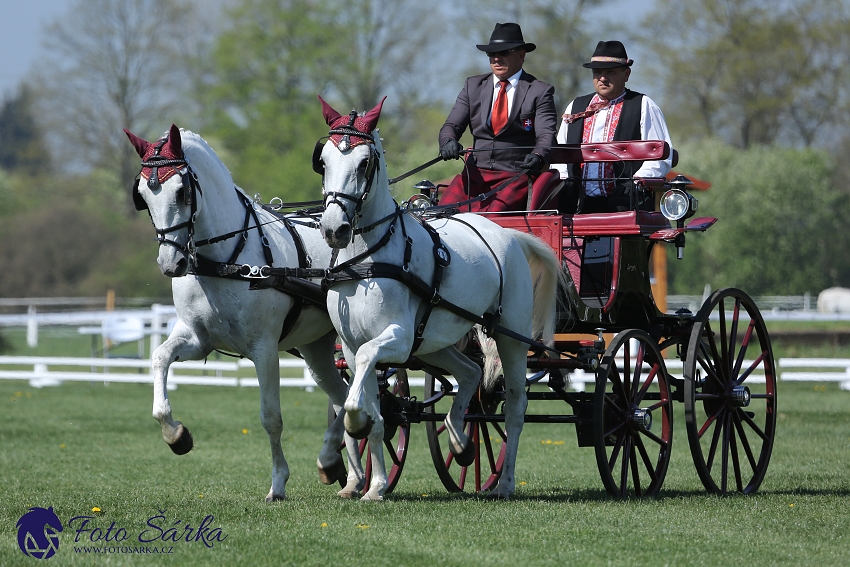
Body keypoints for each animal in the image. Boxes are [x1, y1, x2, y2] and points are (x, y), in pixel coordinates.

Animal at [122, 125, 364, 502]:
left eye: (181, 191)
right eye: (144, 195)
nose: (170, 263)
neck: (225, 261)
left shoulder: (263, 349)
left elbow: (271, 418)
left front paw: (278, 483)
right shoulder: (198, 339)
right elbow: (160, 359)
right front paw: (176, 435)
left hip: (348, 339)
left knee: (356, 394)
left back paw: (337, 463)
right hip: (316, 348)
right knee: (341, 398)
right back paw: (345, 474)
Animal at [312, 97, 564, 502]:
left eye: (365, 162)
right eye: (323, 161)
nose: (335, 229)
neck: (368, 259)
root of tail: (509, 234)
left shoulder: (395, 340)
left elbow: (362, 389)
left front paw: (355, 428)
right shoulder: (351, 347)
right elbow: (375, 412)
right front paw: (373, 485)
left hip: (509, 337)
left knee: (514, 406)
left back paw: (505, 482)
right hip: (437, 343)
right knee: (470, 373)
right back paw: (460, 443)